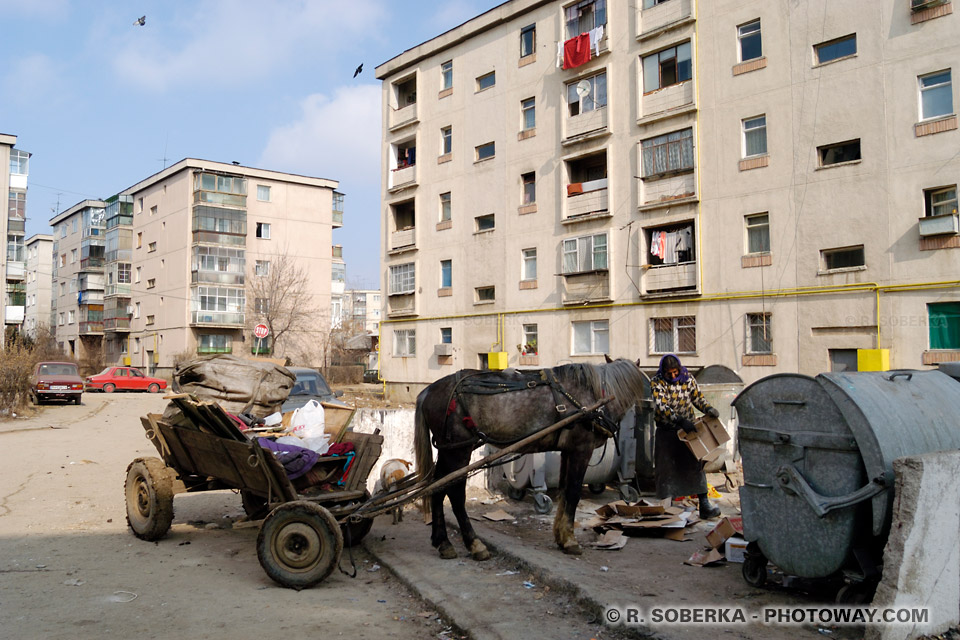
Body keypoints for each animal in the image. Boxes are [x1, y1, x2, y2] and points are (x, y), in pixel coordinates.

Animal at [412, 360, 644, 560]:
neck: (593, 397)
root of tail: (428, 391)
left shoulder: (567, 451)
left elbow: (564, 492)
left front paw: (561, 536)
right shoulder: (581, 449)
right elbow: (573, 493)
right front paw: (570, 540)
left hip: (449, 451)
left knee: (437, 488)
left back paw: (443, 542)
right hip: (459, 451)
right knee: (455, 493)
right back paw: (474, 544)